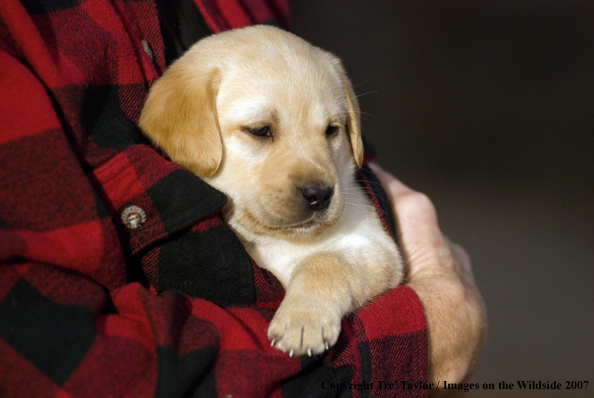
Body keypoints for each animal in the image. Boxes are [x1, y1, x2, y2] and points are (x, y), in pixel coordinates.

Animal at [139, 24, 402, 356]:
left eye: (331, 130)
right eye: (260, 130)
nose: (320, 195)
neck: (272, 240)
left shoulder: (375, 248)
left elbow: (325, 262)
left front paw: (303, 319)